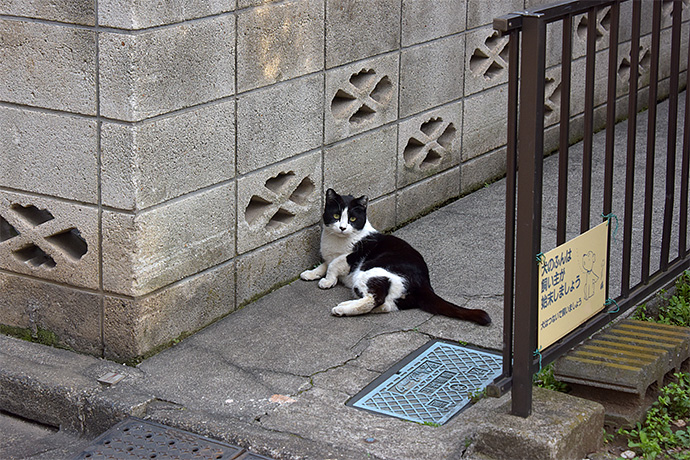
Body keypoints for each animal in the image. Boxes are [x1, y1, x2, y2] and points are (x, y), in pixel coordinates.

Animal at [300, 189, 490, 326]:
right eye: (336, 216)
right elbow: (325, 264)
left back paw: (341, 309)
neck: (336, 241)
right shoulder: (330, 255)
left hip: (370, 271)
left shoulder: (352, 256)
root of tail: (425, 283)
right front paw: (311, 273)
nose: (342, 227)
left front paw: (327, 281)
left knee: (374, 298)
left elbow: (333, 264)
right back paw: (347, 306)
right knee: (386, 305)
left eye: (353, 219)